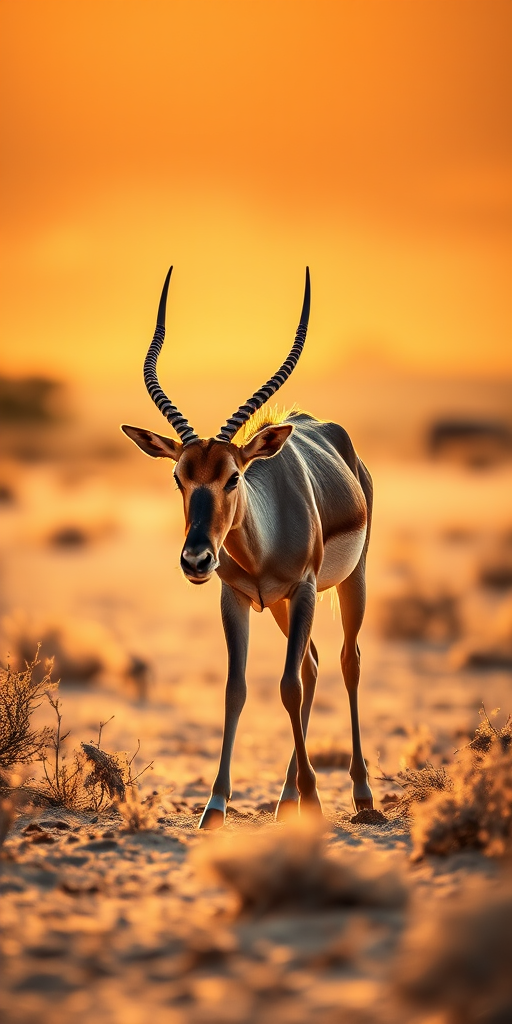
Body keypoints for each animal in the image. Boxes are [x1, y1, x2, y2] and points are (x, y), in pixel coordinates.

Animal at [122, 267, 373, 829]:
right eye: (179, 477)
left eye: (233, 477)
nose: (196, 558)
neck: (265, 539)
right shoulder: (234, 597)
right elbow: (236, 689)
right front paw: (214, 807)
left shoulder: (304, 591)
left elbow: (286, 686)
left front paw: (316, 802)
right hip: (276, 605)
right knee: (313, 664)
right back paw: (285, 800)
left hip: (350, 582)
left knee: (345, 661)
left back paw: (361, 796)